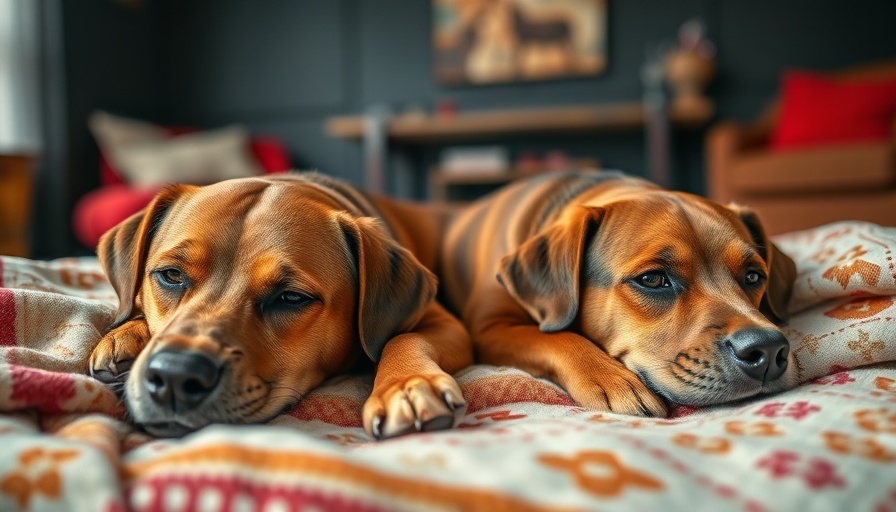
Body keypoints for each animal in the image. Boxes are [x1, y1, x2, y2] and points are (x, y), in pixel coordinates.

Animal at [87, 172, 472, 440]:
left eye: (291, 297)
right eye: (171, 275)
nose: (175, 375)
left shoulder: (446, 323)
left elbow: (403, 338)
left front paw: (407, 384)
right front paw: (125, 334)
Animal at [440, 170, 800, 414]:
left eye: (753, 276)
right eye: (652, 279)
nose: (768, 350)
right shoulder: (487, 328)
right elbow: (554, 337)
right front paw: (614, 381)